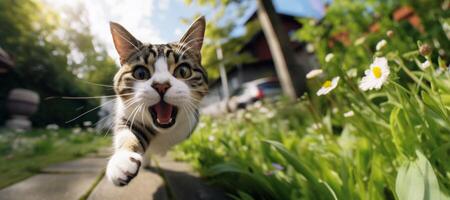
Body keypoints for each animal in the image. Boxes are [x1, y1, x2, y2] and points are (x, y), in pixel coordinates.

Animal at [106, 16, 208, 187]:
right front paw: (122, 161)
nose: (161, 85)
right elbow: (127, 134)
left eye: (183, 71)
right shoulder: (130, 116)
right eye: (140, 73)